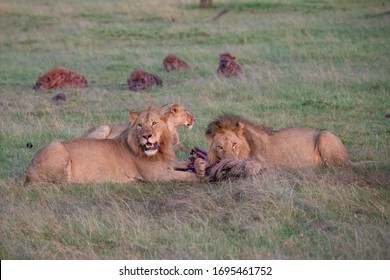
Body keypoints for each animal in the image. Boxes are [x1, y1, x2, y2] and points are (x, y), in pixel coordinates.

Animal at [23, 106, 207, 185]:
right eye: (140, 125)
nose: (146, 136)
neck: (160, 149)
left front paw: (198, 164)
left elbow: (183, 163)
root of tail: (27, 168)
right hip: (58, 150)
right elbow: (185, 176)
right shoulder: (157, 175)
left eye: (154, 123)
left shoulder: (167, 163)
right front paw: (201, 175)